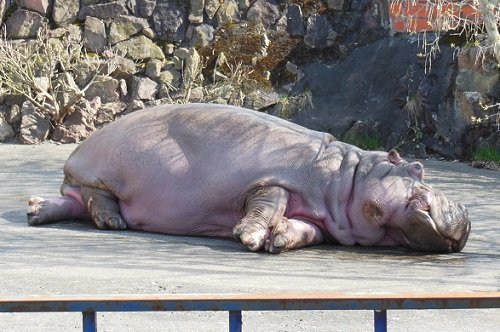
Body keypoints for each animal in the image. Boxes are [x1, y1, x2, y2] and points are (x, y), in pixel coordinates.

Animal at [26, 104, 472, 254]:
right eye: (418, 168)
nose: (466, 213)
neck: (350, 175)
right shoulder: (275, 180)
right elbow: (267, 202)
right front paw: (250, 237)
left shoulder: (323, 222)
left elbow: (303, 230)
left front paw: (279, 241)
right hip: (103, 171)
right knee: (94, 197)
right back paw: (113, 222)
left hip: (80, 186)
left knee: (71, 203)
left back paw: (35, 210)